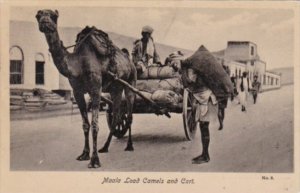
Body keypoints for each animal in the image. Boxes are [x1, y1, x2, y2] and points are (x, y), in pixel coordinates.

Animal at [35, 9, 137, 168]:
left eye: (54, 16)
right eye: (38, 15)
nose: (45, 21)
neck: (78, 63)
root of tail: (130, 61)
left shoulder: (95, 89)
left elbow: (95, 125)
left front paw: (94, 160)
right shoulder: (77, 92)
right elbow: (85, 124)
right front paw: (84, 154)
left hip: (130, 82)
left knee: (130, 115)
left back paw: (129, 146)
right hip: (116, 87)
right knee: (117, 115)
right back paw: (105, 147)